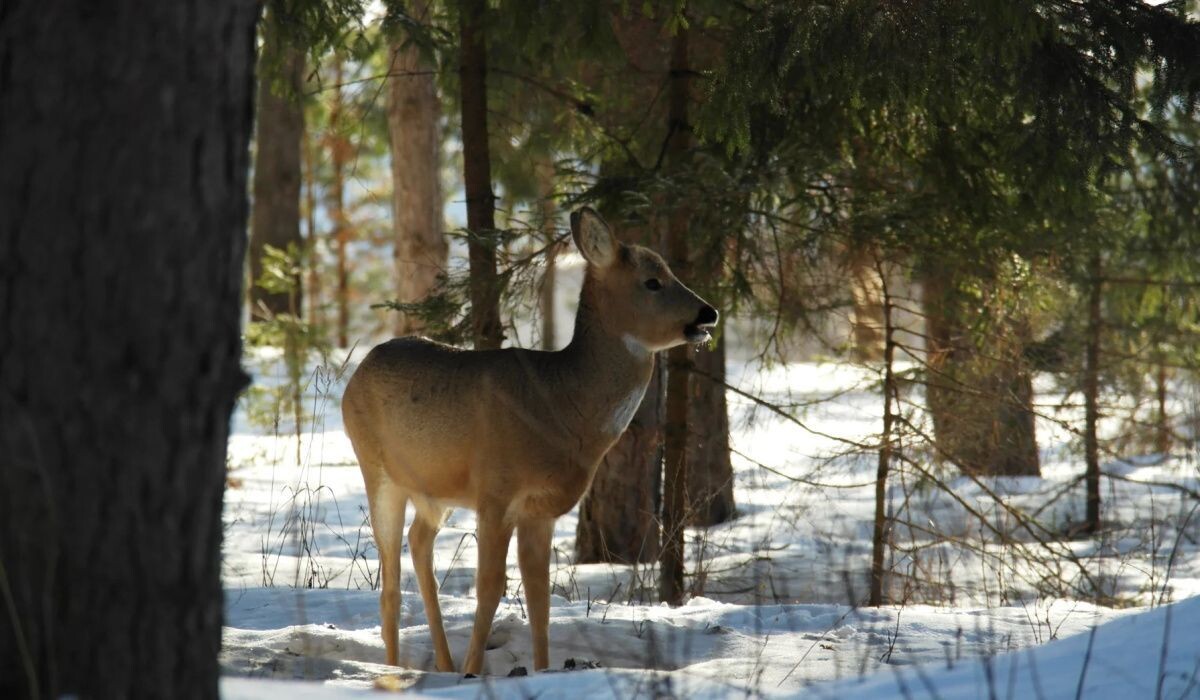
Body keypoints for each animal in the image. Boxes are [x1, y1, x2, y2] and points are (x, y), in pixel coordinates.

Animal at [343, 207, 715, 672]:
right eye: (652, 280)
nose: (709, 313)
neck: (561, 406)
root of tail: (355, 373)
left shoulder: (541, 509)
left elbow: (540, 597)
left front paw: (540, 670)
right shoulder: (495, 491)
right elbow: (490, 587)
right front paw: (473, 672)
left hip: (435, 489)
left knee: (419, 541)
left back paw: (442, 664)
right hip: (377, 471)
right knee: (390, 580)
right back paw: (396, 668)